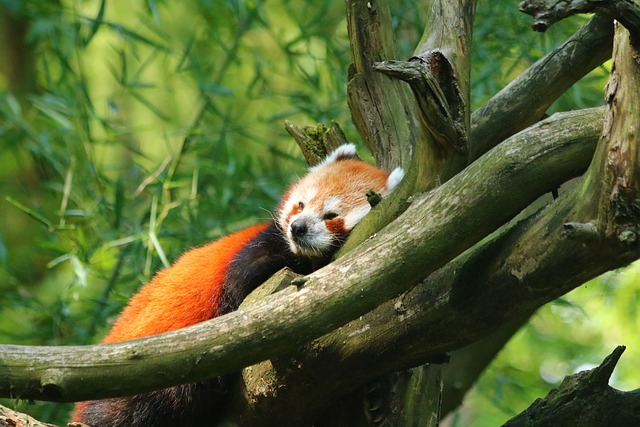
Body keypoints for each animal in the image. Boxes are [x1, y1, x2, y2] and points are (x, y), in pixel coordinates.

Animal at [72, 145, 402, 427]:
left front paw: (376, 394)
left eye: (331, 215)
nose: (298, 228)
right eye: (300, 205)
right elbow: (245, 279)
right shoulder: (257, 251)